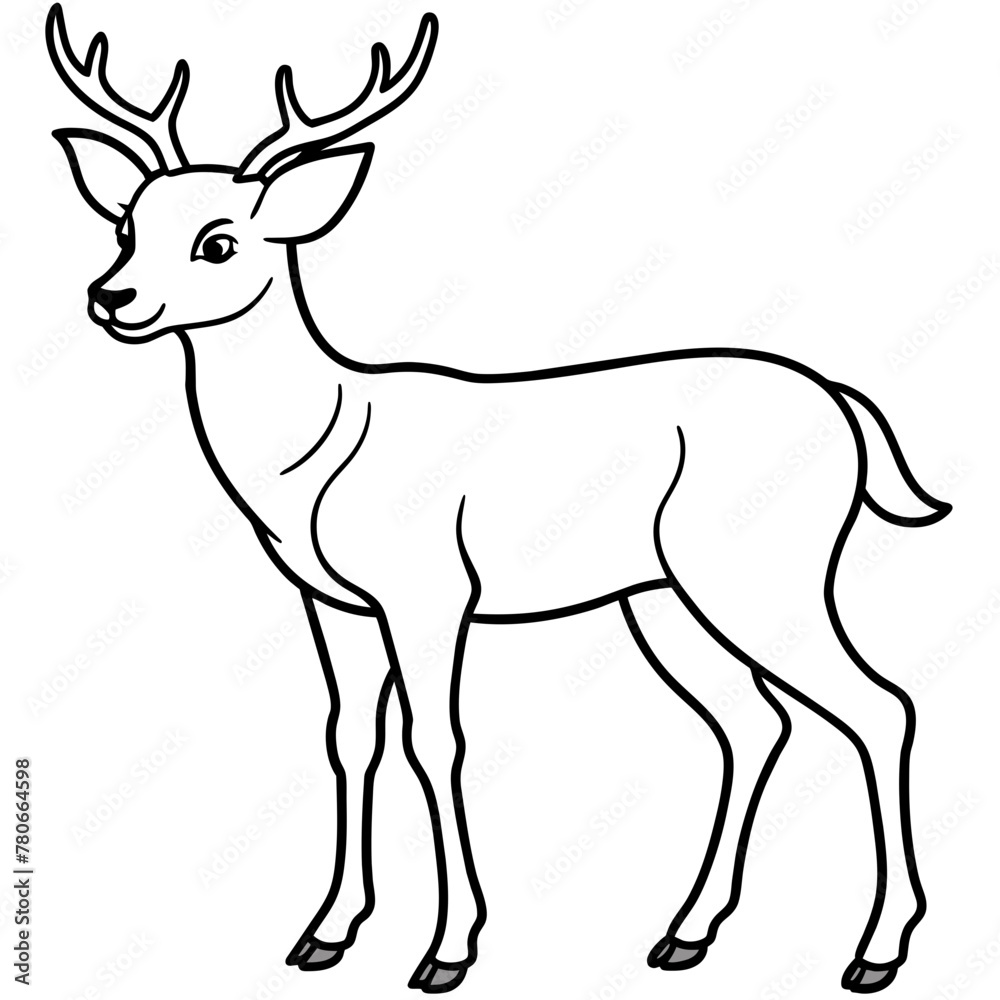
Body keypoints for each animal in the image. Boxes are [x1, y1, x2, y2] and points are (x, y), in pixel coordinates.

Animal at [47, 4, 951, 993]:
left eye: (220, 240)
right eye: (126, 224)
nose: (111, 297)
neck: (319, 453)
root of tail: (844, 404)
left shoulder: (431, 589)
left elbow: (434, 742)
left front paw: (447, 951)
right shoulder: (332, 602)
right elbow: (347, 738)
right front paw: (326, 933)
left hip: (762, 569)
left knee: (880, 706)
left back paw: (876, 952)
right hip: (663, 595)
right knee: (755, 723)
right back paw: (685, 934)